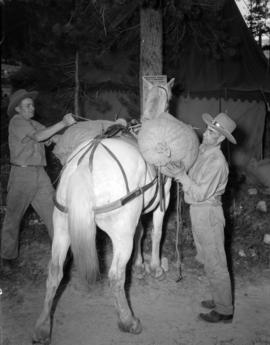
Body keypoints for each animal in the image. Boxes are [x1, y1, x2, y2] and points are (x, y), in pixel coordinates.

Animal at [32, 78, 175, 344]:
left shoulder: (136, 213)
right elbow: (157, 232)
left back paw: (42, 327)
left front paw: (139, 266)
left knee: (54, 272)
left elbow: (141, 233)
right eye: (170, 100)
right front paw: (155, 268)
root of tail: (84, 166)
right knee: (116, 276)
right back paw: (128, 321)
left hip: (62, 227)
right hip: (119, 233)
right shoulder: (164, 198)